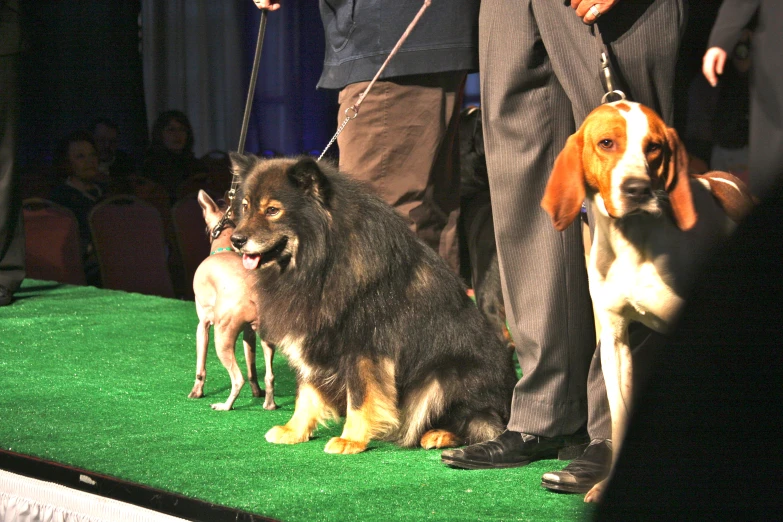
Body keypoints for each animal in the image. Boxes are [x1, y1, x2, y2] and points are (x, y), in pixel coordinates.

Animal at [188, 189, 278, 408]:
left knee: (238, 379)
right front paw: (256, 392)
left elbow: (200, 366)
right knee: (269, 376)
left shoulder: (202, 325)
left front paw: (196, 392)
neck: (225, 248)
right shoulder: (249, 333)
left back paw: (225, 406)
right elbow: (252, 369)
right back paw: (269, 404)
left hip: (221, 338)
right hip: (266, 339)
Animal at [230, 153, 516, 450]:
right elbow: (306, 393)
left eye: (273, 210)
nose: (236, 239)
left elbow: (359, 397)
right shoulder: (312, 340)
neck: (320, 261)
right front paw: (294, 430)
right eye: (245, 207)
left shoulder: (364, 348)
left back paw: (439, 434)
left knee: (481, 423)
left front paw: (350, 439)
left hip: (443, 378)